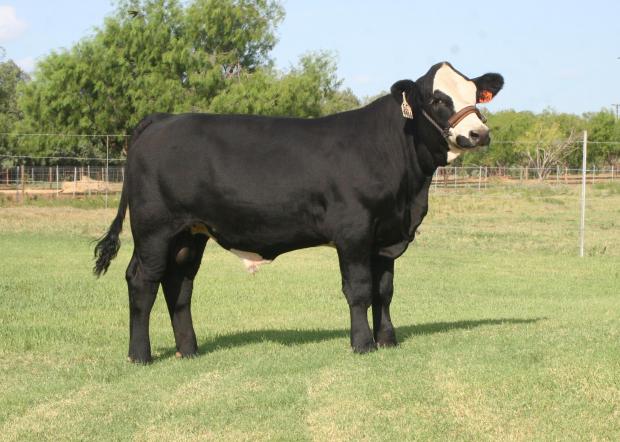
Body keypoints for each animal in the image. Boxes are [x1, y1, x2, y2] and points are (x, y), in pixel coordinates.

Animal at [93, 61, 504, 362]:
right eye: (437, 99)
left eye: (474, 96)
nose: (479, 133)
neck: (409, 191)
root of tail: (163, 118)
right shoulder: (354, 230)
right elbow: (359, 289)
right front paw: (362, 344)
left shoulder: (387, 234)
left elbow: (384, 290)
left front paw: (388, 340)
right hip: (155, 228)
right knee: (142, 280)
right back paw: (140, 355)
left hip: (189, 234)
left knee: (179, 285)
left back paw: (189, 351)